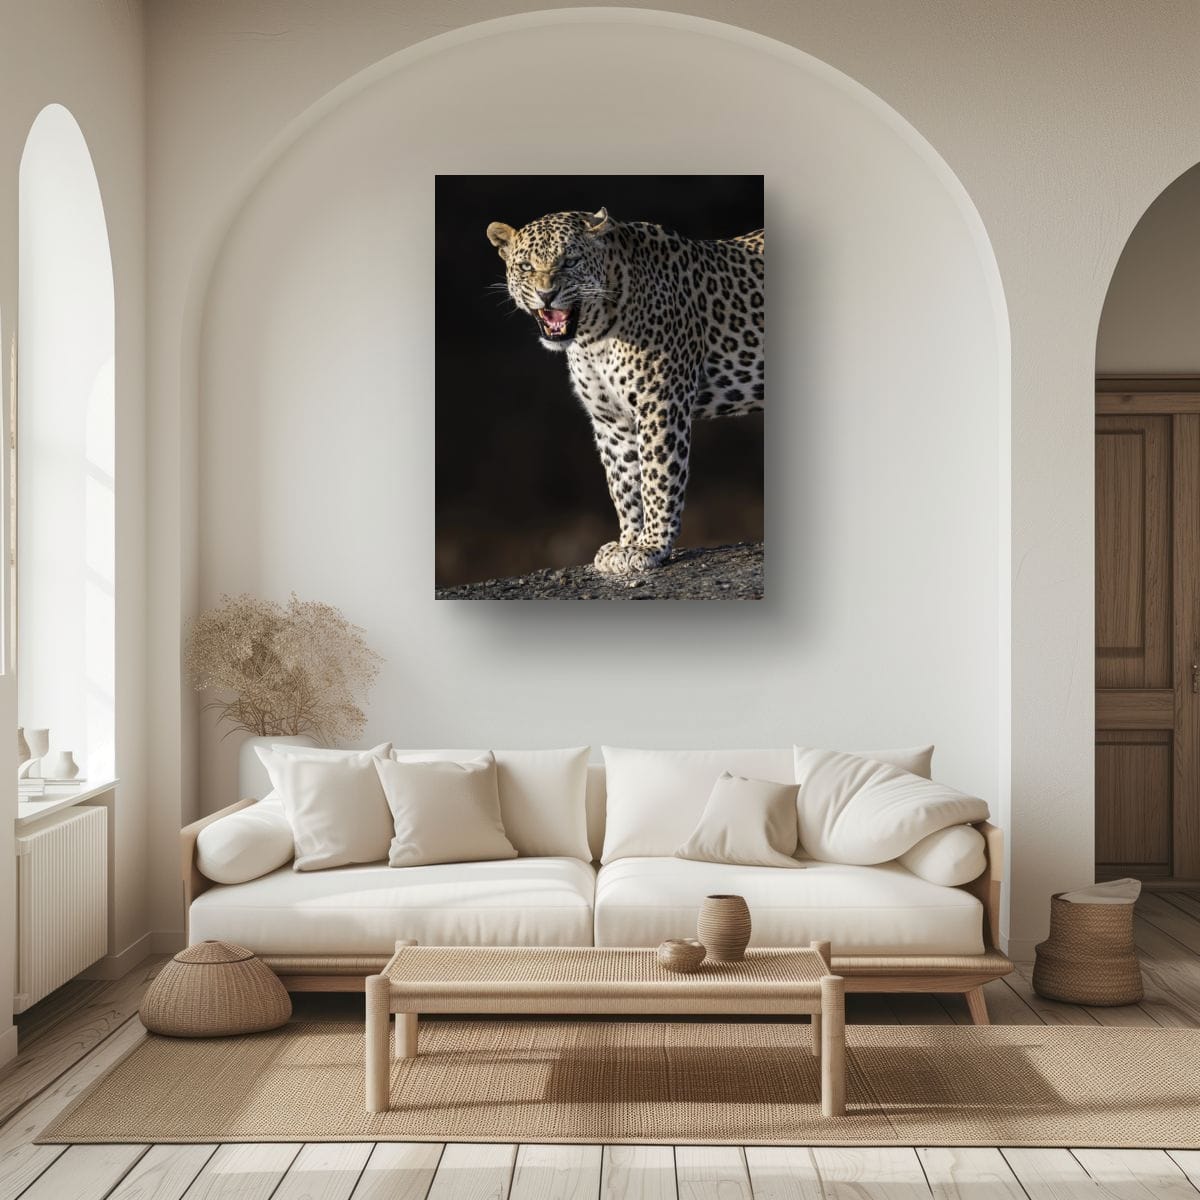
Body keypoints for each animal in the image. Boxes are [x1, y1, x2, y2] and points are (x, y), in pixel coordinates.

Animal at [486, 207, 764, 575]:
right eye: (526, 266)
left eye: (570, 262)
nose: (546, 294)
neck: (592, 336)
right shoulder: (611, 420)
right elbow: (623, 482)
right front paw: (628, 542)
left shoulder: (661, 404)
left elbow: (657, 477)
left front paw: (651, 546)